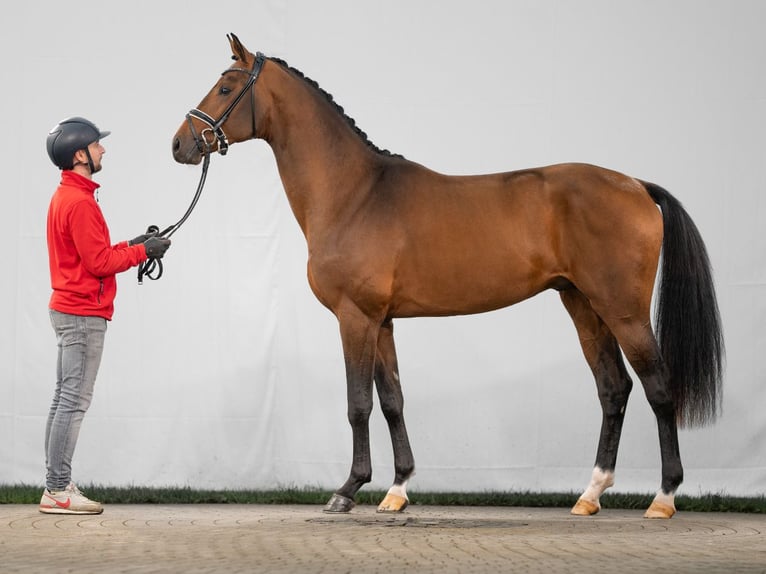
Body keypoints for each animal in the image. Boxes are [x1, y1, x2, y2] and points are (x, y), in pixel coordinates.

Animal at [174, 36, 728, 520]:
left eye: (225, 87)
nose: (180, 144)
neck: (355, 193)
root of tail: (637, 185)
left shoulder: (355, 318)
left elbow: (358, 404)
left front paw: (347, 490)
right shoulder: (383, 322)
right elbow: (392, 400)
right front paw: (397, 490)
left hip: (623, 309)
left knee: (658, 387)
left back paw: (663, 499)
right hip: (582, 304)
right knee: (613, 389)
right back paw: (590, 495)